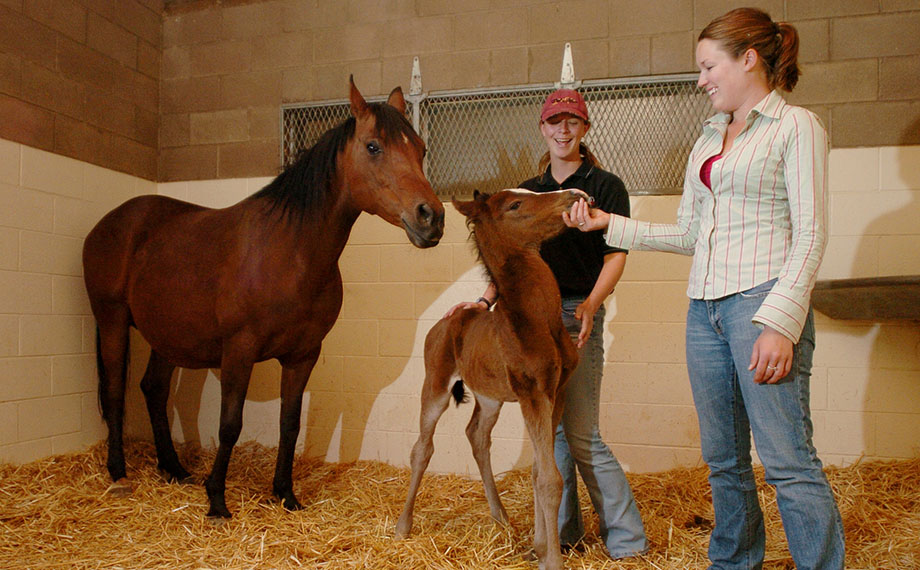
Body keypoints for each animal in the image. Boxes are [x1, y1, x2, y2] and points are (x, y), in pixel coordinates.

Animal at [82, 77, 445, 519]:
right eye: (373, 146)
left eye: (421, 149)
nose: (431, 217)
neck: (291, 251)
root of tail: (109, 223)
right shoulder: (239, 350)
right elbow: (229, 424)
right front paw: (217, 500)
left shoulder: (303, 355)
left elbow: (290, 425)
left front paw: (285, 494)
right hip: (112, 321)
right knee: (116, 391)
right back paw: (119, 473)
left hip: (166, 336)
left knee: (153, 389)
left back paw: (173, 468)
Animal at [395, 188, 585, 570]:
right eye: (515, 205)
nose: (572, 195)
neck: (538, 322)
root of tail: (443, 324)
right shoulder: (532, 393)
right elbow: (549, 479)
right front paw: (551, 560)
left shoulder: (556, 392)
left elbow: (538, 471)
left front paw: (539, 548)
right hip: (435, 386)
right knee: (422, 448)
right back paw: (402, 527)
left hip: (490, 397)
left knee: (477, 435)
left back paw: (501, 517)